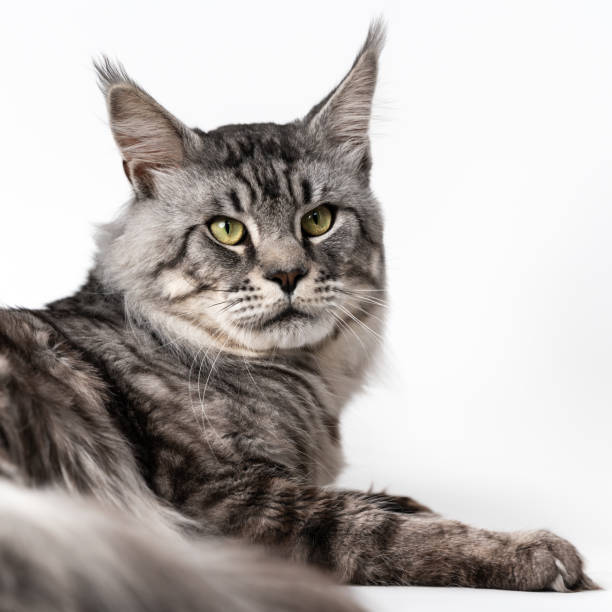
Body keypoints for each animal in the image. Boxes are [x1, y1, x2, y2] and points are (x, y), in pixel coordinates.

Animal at [0, 19, 596, 612]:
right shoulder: (223, 500)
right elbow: (380, 527)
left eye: (318, 220)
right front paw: (537, 553)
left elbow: (390, 500)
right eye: (226, 230)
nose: (287, 274)